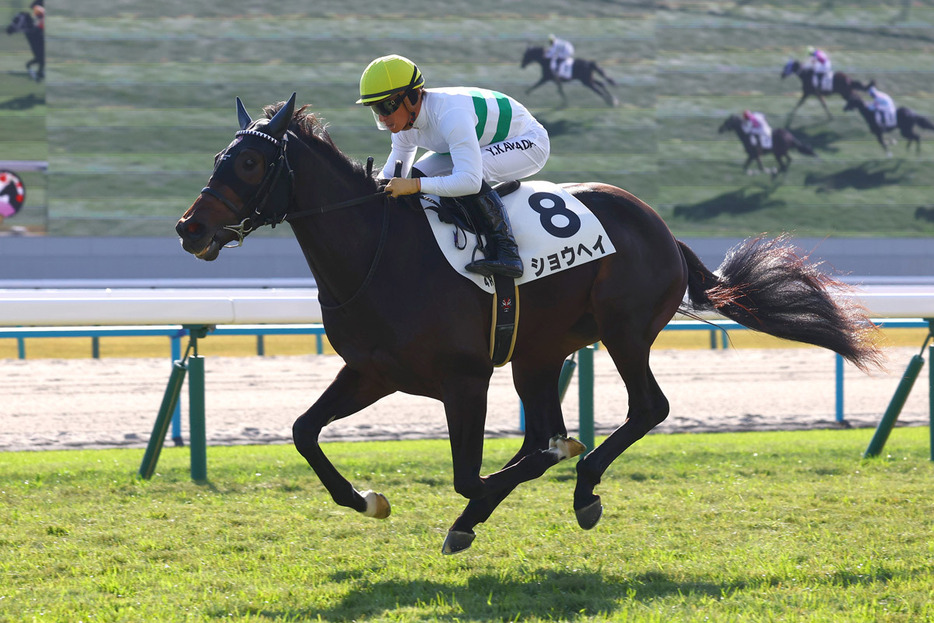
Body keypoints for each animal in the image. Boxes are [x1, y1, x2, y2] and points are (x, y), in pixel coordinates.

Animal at [176, 96, 884, 556]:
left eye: (248, 164)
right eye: (216, 156)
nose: (191, 228)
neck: (378, 251)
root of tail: (659, 225)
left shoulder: (465, 380)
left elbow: (473, 474)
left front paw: (484, 504)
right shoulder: (373, 370)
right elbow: (303, 431)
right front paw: (369, 500)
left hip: (623, 331)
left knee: (646, 409)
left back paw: (584, 489)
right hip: (537, 352)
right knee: (548, 426)